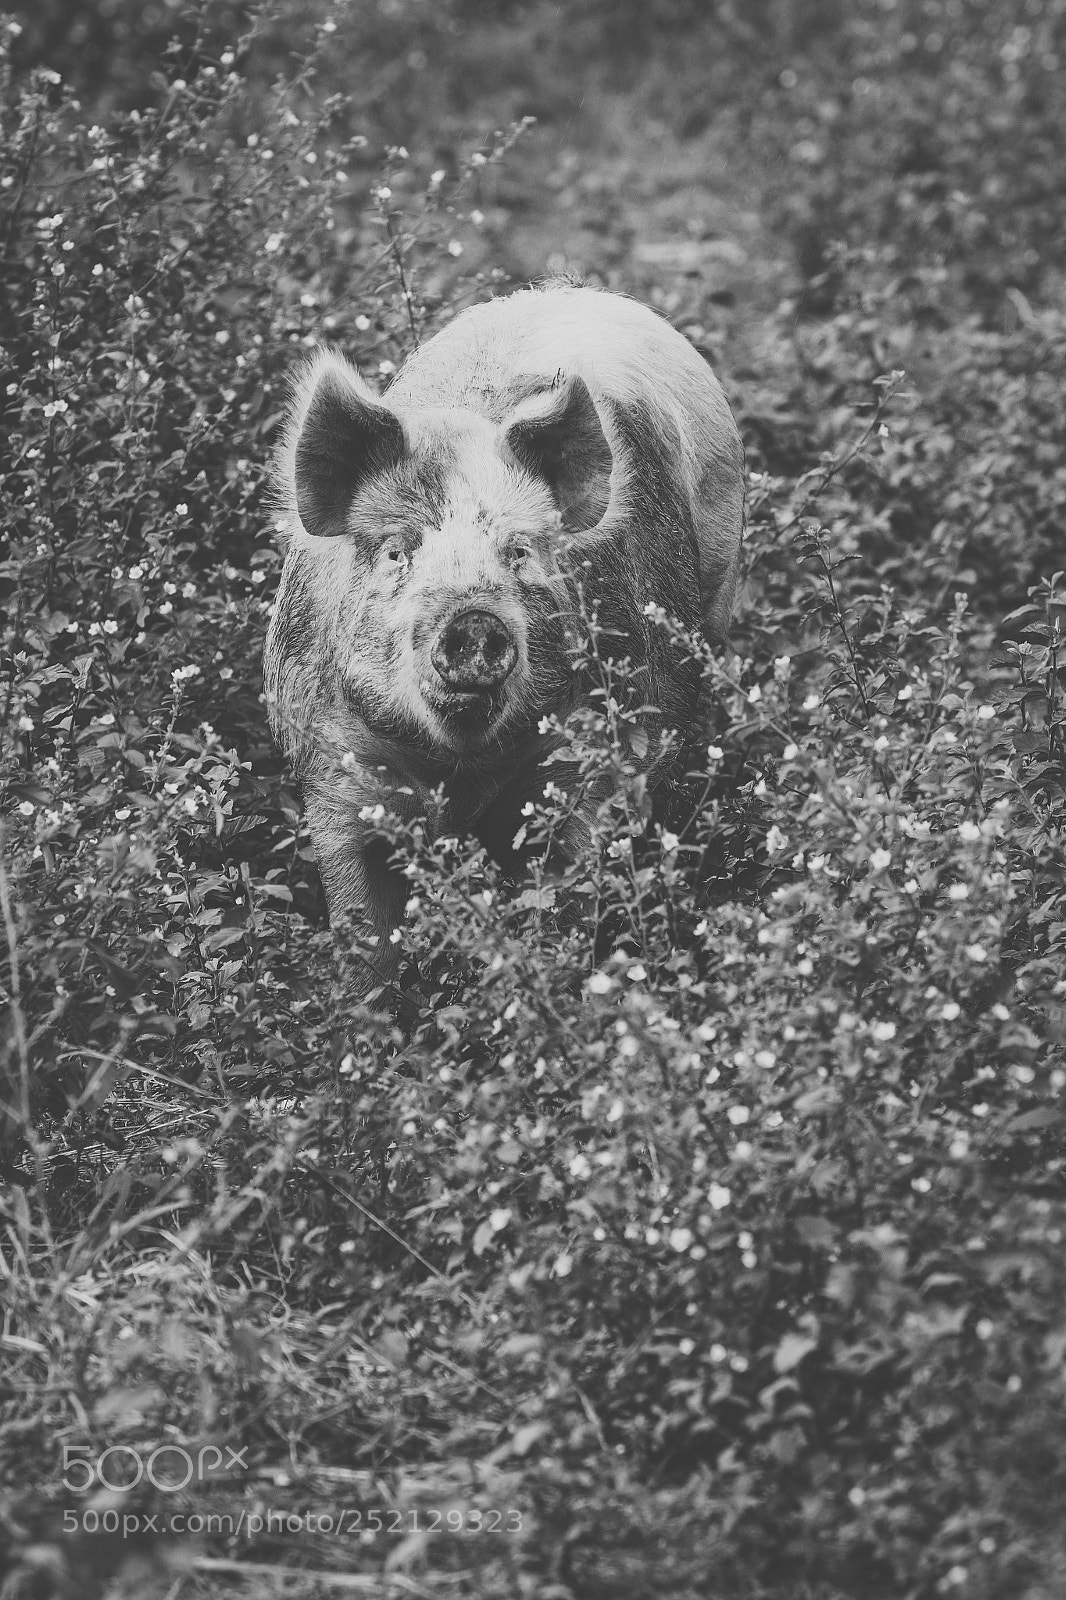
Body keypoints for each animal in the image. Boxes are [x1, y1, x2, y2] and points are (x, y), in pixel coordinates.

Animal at [263, 282, 744, 996]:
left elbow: (560, 889)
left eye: (518, 550)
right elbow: (363, 930)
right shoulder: (334, 770)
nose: (472, 616)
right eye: (396, 551)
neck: (459, 769)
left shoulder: (589, 758)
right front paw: (366, 1015)